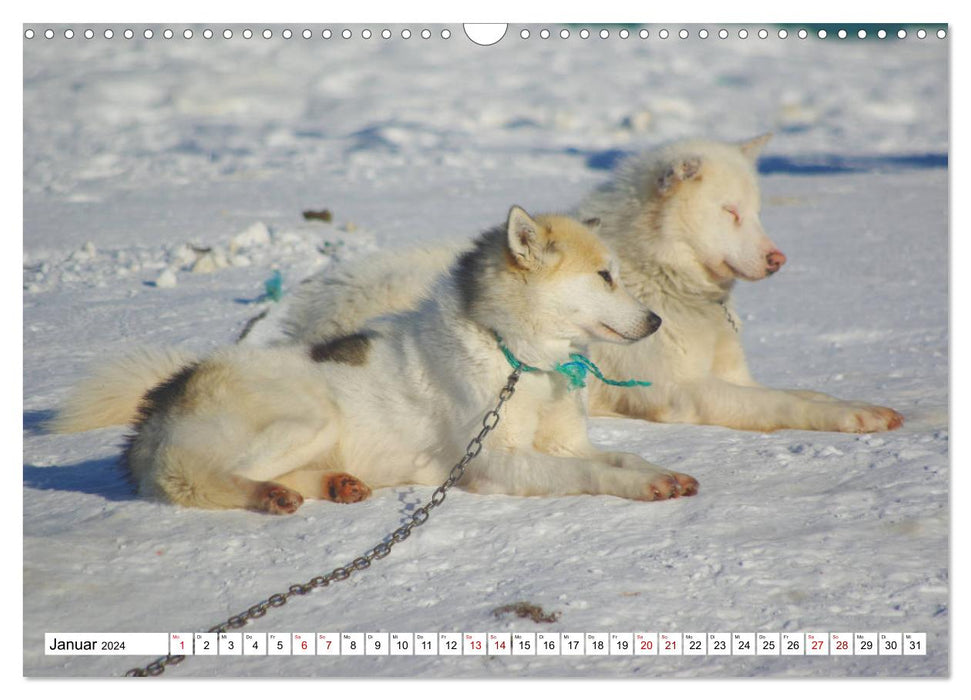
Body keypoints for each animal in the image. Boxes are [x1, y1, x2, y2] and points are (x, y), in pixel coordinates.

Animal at [53, 208, 700, 516]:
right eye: (605, 276)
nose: (656, 322)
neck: (517, 355)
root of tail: (162, 399)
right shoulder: (495, 463)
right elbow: (592, 474)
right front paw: (642, 486)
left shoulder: (566, 444)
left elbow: (621, 455)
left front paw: (658, 471)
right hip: (309, 418)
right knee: (204, 478)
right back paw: (267, 496)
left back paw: (332, 484)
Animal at [274, 135, 904, 434]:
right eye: (729, 212)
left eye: (755, 212)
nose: (777, 258)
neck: (661, 276)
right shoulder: (682, 391)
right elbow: (781, 402)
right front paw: (852, 418)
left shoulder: (731, 376)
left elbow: (805, 393)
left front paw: (857, 405)